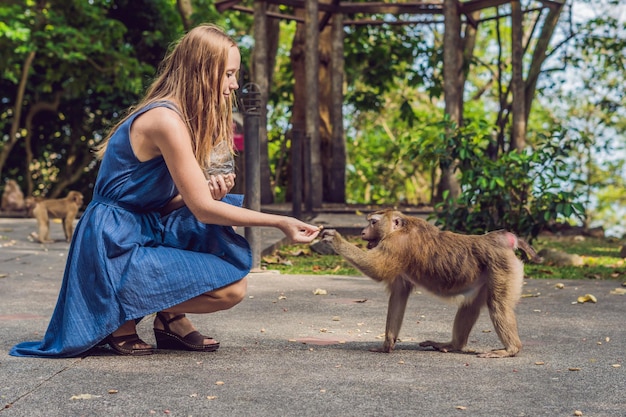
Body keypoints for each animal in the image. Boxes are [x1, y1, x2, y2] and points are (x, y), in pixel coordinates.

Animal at [320, 208, 540, 358]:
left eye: (373, 222)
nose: (362, 233)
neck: (400, 228)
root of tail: (501, 238)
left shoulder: (396, 245)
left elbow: (376, 270)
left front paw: (335, 239)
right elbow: (398, 296)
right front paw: (387, 345)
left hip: (502, 268)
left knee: (498, 305)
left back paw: (511, 349)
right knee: (470, 305)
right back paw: (453, 345)